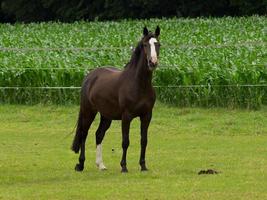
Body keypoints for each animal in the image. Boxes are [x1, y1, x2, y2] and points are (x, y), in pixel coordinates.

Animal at [71, 26, 161, 173]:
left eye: (158, 44)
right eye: (145, 45)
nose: (152, 62)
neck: (139, 84)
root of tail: (90, 76)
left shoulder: (147, 116)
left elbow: (144, 140)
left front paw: (143, 166)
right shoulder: (126, 116)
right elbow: (125, 141)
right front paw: (124, 166)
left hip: (106, 116)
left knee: (98, 134)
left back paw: (101, 165)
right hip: (88, 111)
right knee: (84, 134)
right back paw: (80, 164)